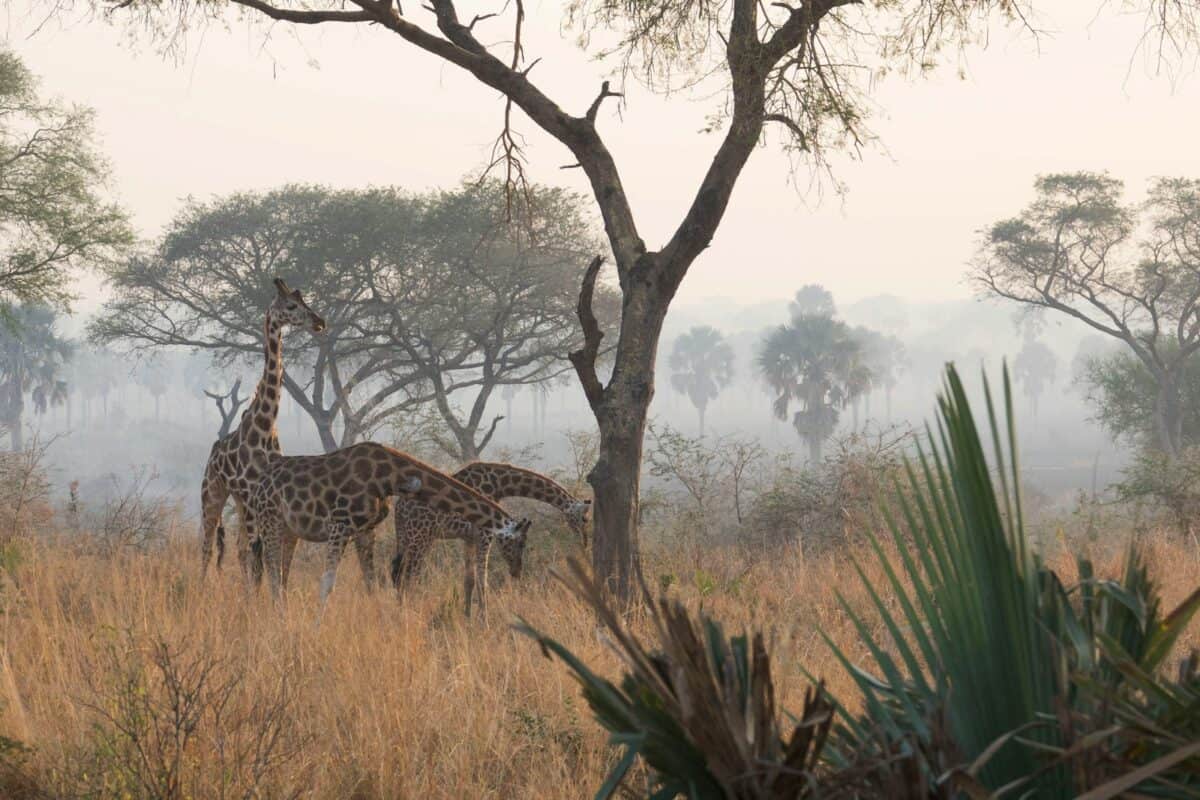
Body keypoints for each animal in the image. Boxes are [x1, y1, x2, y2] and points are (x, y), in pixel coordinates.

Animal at [199, 278, 324, 578]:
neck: (265, 426)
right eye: (290, 306)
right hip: (212, 494)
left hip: (239, 501)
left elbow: (264, 556)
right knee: (208, 548)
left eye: (304, 301)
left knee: (240, 549)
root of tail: (212, 454)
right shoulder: (250, 495)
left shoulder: (261, 496)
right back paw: (199, 585)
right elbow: (260, 555)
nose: (320, 321)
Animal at [242, 441, 531, 615]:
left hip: (290, 530)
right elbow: (327, 583)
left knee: (281, 572)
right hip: (270, 519)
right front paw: (316, 629)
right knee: (272, 571)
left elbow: (372, 582)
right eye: (519, 543)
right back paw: (280, 617)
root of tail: (262, 480)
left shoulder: (364, 529)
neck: (388, 476)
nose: (518, 572)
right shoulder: (339, 525)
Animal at [390, 462, 591, 590]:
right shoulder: (486, 533)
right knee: (409, 577)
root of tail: (399, 508)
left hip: (407, 536)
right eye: (585, 519)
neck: (500, 484)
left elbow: (469, 581)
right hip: (420, 537)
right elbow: (482, 581)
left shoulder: (470, 537)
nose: (584, 543)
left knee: (398, 574)